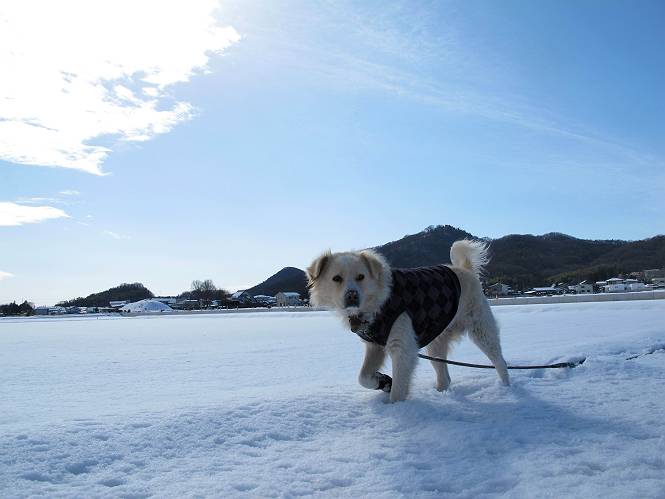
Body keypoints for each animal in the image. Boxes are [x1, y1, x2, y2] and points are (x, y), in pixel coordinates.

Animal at [306, 239, 509, 402]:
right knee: (444, 376)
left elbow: (398, 388)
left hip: (482, 330)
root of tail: (465, 270)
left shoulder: (401, 346)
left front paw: (396, 408)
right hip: (436, 343)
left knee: (500, 361)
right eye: (336, 278)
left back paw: (506, 389)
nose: (352, 295)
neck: (379, 301)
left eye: (361, 277)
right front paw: (383, 381)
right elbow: (362, 377)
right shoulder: (375, 345)